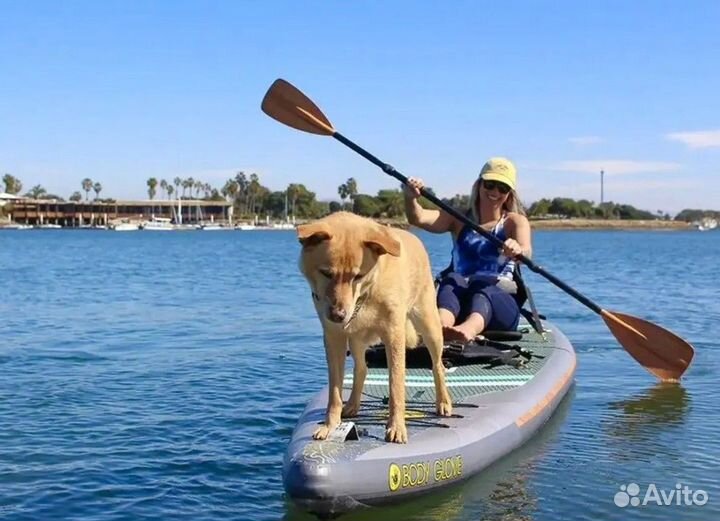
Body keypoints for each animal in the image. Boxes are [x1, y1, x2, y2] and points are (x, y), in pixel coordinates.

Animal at [296, 211, 452, 442]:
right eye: (326, 273)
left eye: (358, 276)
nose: (338, 315)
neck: (366, 295)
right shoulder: (334, 338)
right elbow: (335, 392)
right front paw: (330, 426)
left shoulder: (394, 336)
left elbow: (396, 386)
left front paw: (397, 426)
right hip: (356, 339)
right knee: (361, 368)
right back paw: (352, 404)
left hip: (429, 325)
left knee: (437, 365)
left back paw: (443, 401)